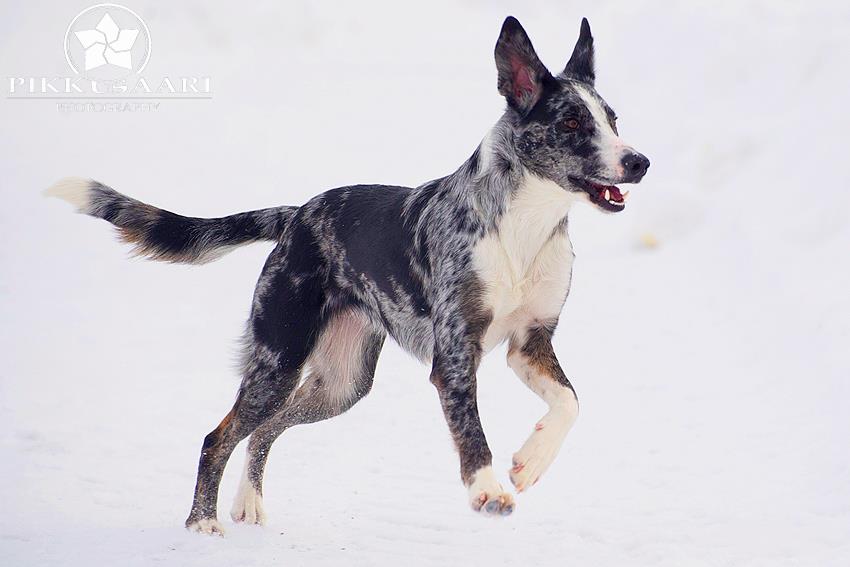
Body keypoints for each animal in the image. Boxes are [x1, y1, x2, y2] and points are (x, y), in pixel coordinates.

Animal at [46, 16, 649, 535]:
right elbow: (474, 433)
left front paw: (530, 461)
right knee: (219, 436)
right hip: (278, 361)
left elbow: (570, 403)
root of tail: (296, 216)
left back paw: (247, 504)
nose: (640, 162)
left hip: (342, 383)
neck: (524, 227)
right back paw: (202, 524)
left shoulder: (530, 341)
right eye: (571, 122)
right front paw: (488, 489)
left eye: (613, 120)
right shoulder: (455, 356)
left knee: (263, 431)